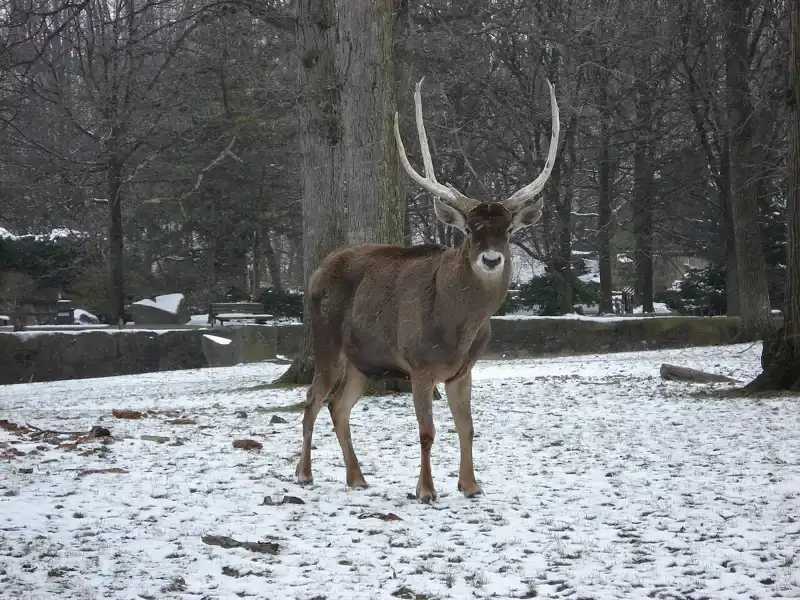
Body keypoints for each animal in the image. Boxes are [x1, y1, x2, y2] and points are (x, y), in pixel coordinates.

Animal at [295, 78, 560, 503]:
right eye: (469, 229)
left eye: (508, 230)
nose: (490, 259)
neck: (456, 328)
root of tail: (318, 271)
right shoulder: (418, 365)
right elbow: (426, 432)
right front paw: (425, 490)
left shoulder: (463, 370)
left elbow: (467, 427)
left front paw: (470, 485)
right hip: (326, 344)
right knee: (311, 400)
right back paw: (304, 474)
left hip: (363, 361)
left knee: (338, 405)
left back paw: (357, 477)